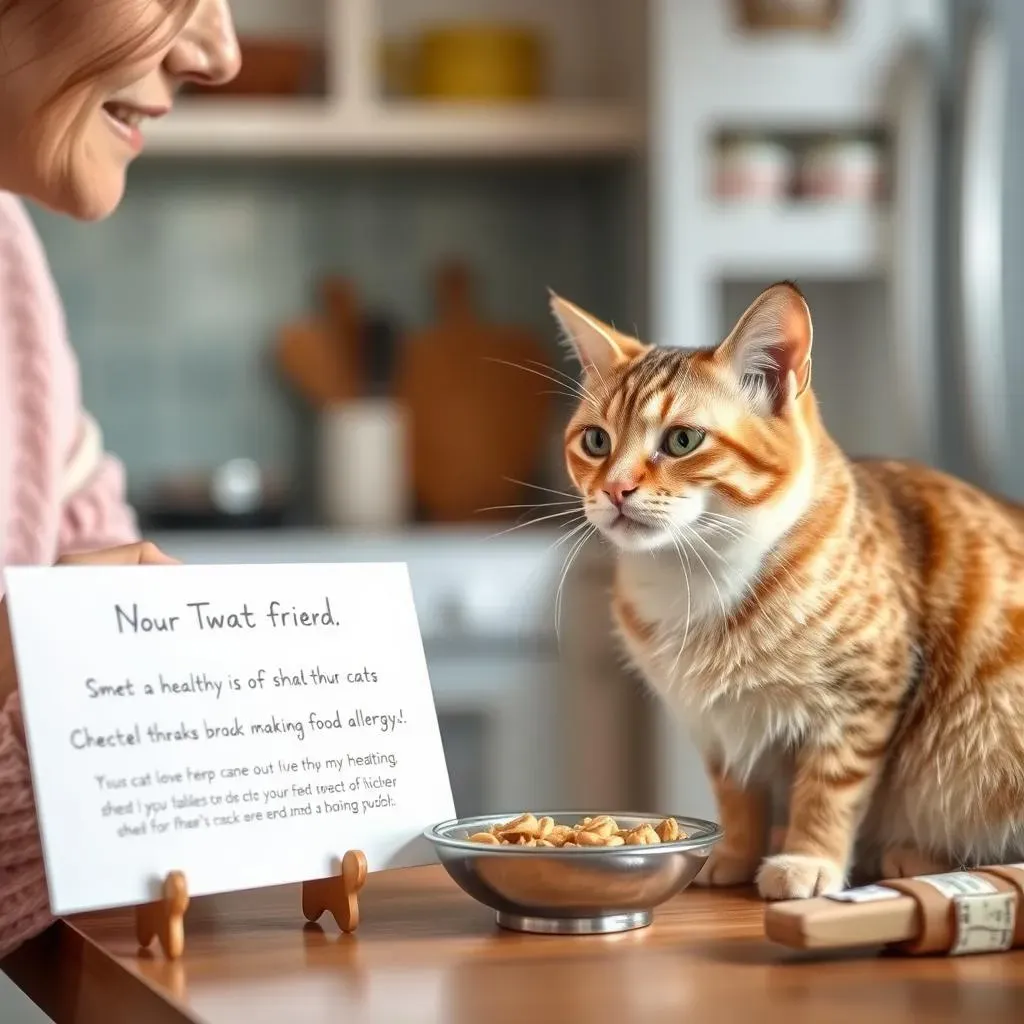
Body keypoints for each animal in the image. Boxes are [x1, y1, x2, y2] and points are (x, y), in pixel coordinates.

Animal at [557, 278, 1024, 897]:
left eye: (682, 440)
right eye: (595, 441)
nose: (612, 488)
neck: (697, 577)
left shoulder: (859, 699)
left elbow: (827, 792)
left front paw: (808, 858)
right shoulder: (718, 726)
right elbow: (738, 797)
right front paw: (734, 853)